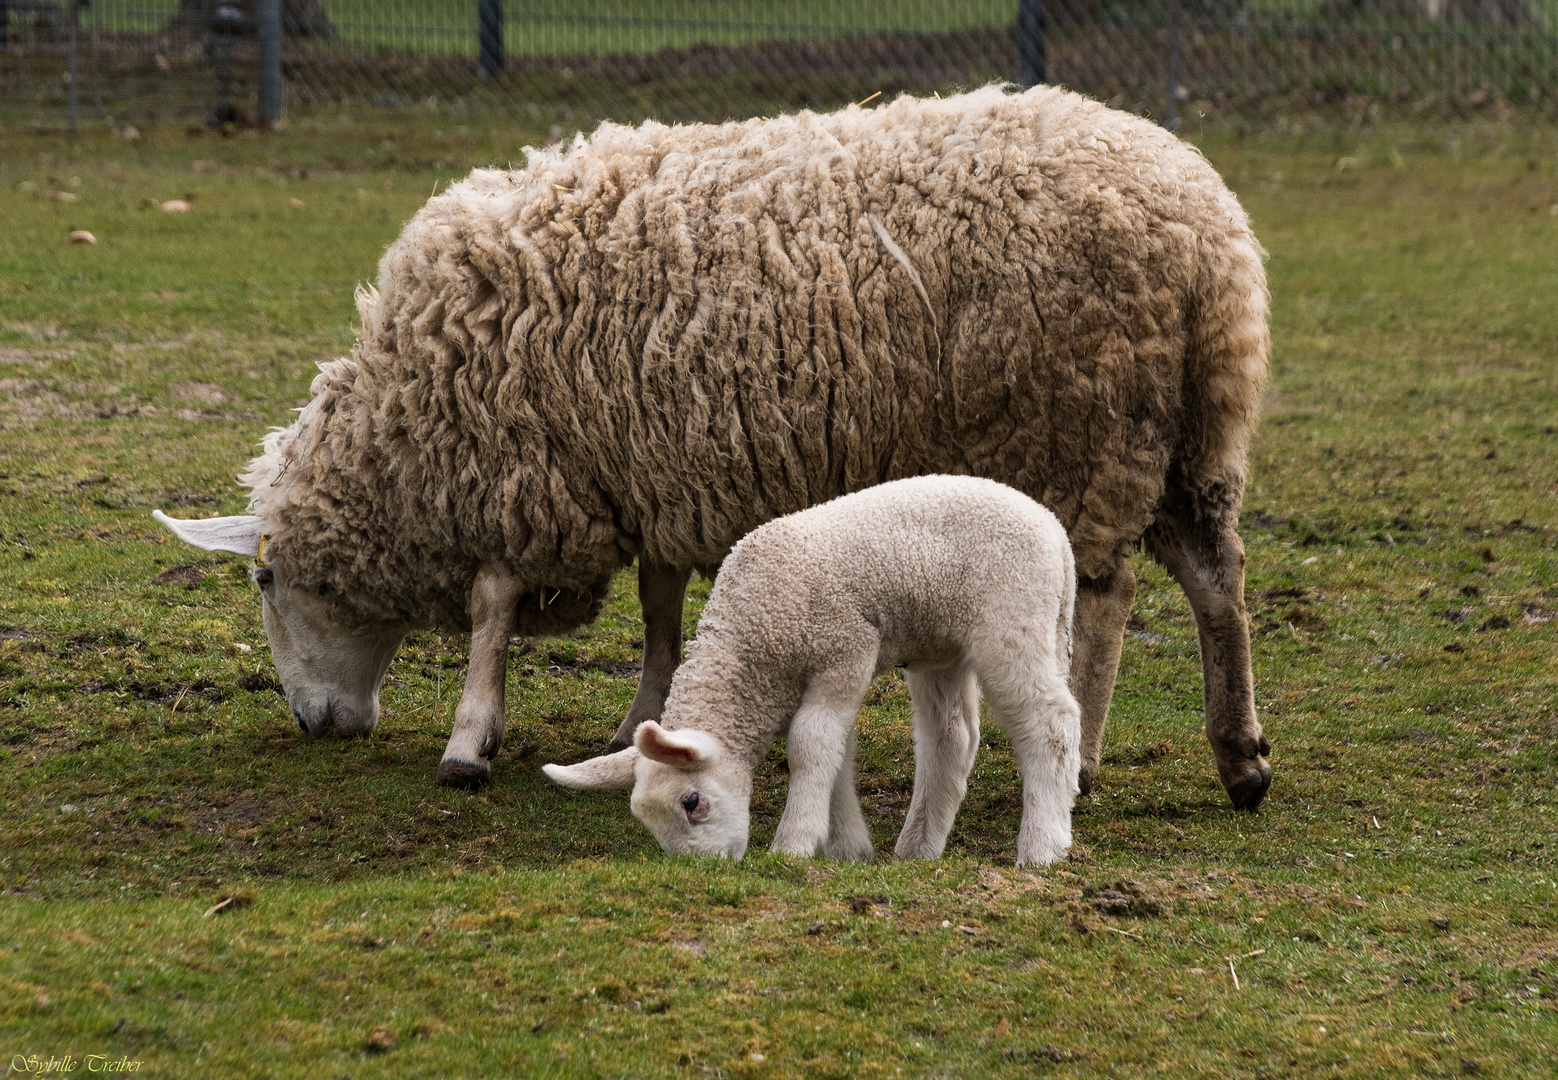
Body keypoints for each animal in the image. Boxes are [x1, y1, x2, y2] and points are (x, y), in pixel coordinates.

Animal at [146, 82, 1271, 810]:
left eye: (264, 580)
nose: (314, 724)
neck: (412, 423)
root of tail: (1205, 233)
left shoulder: (526, 470)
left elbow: (491, 611)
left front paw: (469, 742)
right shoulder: (645, 471)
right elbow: (656, 608)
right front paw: (637, 718)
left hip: (1081, 430)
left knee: (1107, 599)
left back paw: (1085, 764)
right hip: (1189, 439)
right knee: (1217, 584)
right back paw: (1242, 759)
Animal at [548, 476, 1084, 866]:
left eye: (692, 802)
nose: (707, 870)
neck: (755, 640)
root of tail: (1056, 533)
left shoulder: (845, 650)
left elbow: (810, 742)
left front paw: (794, 845)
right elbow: (835, 753)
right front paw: (848, 847)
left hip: (1013, 623)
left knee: (1051, 722)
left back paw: (1042, 849)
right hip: (943, 646)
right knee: (952, 737)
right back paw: (918, 849)